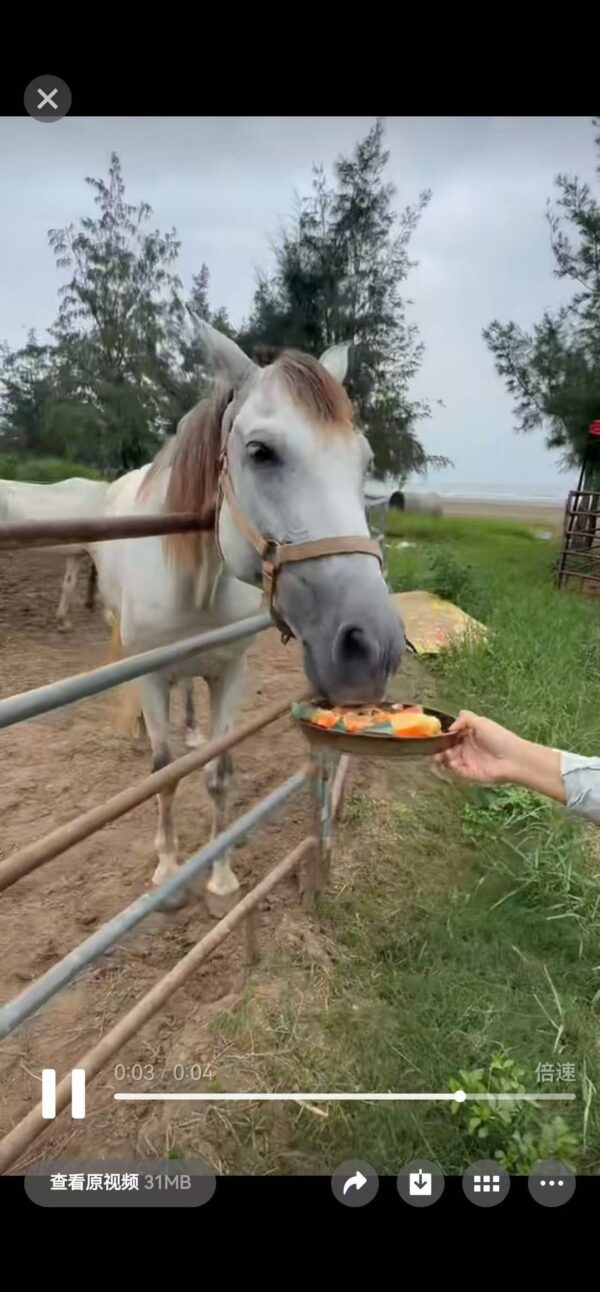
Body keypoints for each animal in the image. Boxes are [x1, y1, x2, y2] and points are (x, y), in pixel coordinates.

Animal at [91, 323, 405, 915]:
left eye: (364, 461)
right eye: (261, 452)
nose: (373, 645)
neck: (194, 581)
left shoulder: (229, 673)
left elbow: (218, 774)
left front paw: (219, 879)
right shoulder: (151, 675)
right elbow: (163, 774)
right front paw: (168, 876)